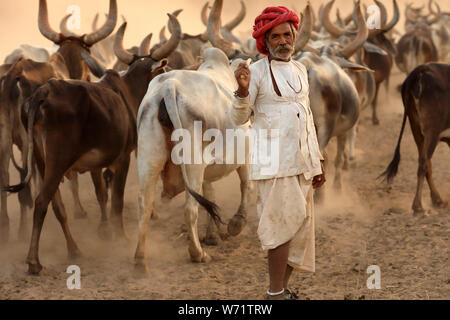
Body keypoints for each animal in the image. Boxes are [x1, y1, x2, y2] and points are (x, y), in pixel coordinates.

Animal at [3, 15, 182, 276]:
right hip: (57, 163)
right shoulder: (123, 157)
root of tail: (42, 93)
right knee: (41, 202)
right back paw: (34, 261)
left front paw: (105, 232)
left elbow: (101, 194)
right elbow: (116, 200)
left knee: (57, 206)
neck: (129, 92)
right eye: (164, 71)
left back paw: (74, 249)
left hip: (41, 162)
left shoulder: (97, 163)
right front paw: (121, 237)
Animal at [380, 62, 450, 215]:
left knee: (425, 162)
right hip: (431, 131)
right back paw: (418, 206)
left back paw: (437, 200)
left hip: (417, 130)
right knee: (424, 162)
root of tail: (420, 70)